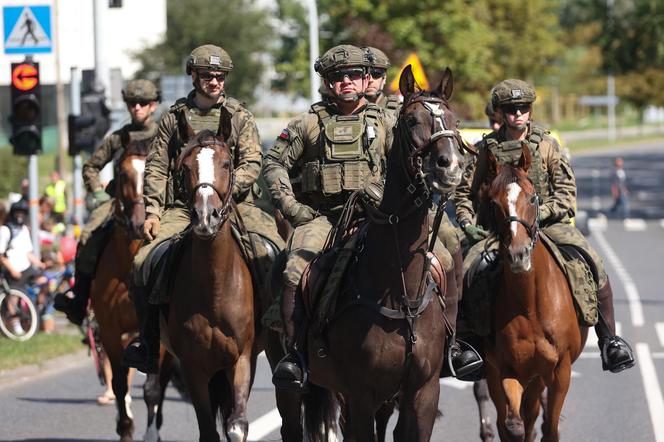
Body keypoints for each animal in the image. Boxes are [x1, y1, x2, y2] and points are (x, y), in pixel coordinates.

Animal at [91, 136, 179, 440]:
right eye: (122, 174)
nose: (141, 224)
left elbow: (152, 388)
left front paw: (151, 432)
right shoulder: (109, 329)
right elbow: (119, 383)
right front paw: (125, 429)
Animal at [165, 110, 255, 442]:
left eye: (227, 164)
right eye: (185, 167)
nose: (206, 217)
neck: (215, 287)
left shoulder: (241, 359)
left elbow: (236, 425)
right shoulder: (194, 368)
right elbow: (208, 430)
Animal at [304, 66, 470, 442]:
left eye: (455, 119)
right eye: (411, 120)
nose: (450, 166)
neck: (400, 295)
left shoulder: (422, 393)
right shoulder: (360, 395)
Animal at [478, 143, 588, 440]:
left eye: (532, 199)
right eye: (493, 203)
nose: (518, 254)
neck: (531, 305)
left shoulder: (560, 371)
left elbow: (549, 427)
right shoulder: (506, 369)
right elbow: (512, 424)